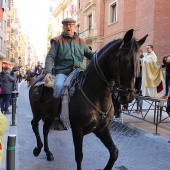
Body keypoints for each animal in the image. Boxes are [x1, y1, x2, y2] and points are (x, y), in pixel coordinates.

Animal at [28, 29, 147, 170]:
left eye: (140, 62)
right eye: (124, 60)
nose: (128, 96)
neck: (97, 96)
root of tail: (37, 80)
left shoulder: (102, 129)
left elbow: (114, 152)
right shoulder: (78, 130)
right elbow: (79, 156)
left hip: (49, 115)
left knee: (45, 129)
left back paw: (48, 152)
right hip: (37, 112)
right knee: (34, 125)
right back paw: (38, 149)